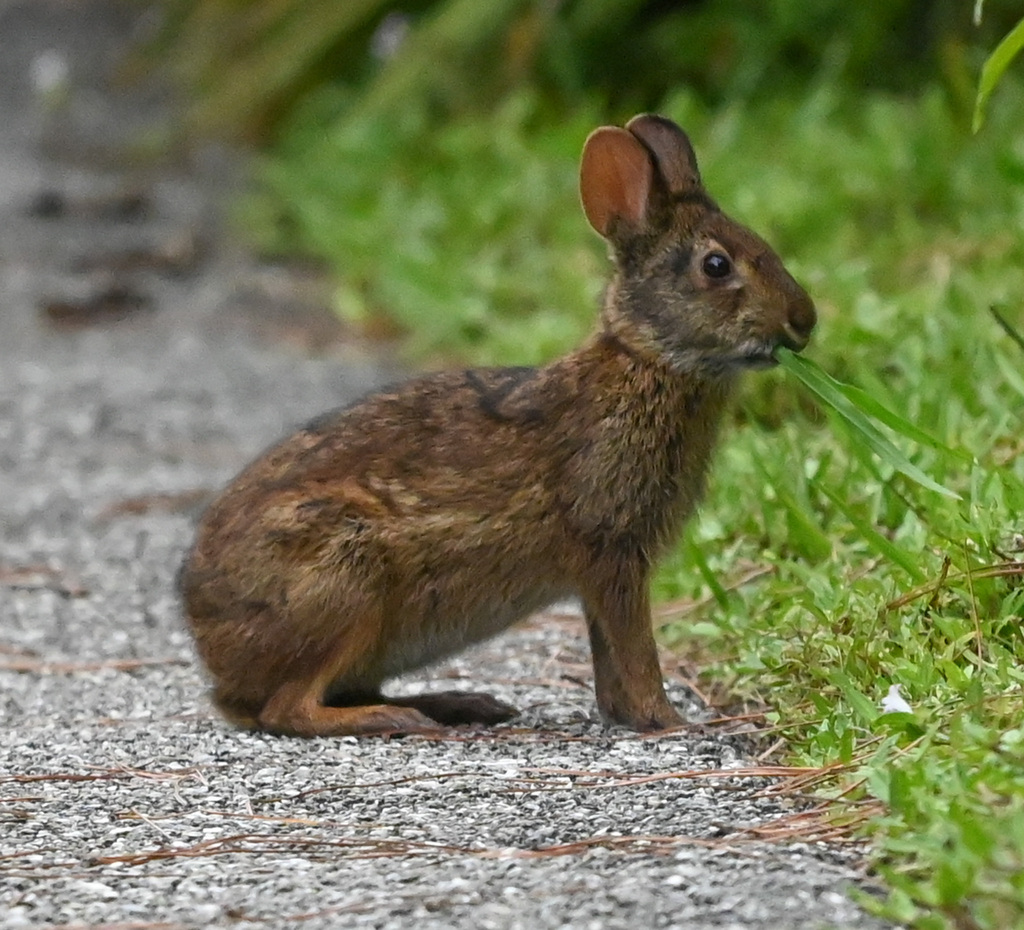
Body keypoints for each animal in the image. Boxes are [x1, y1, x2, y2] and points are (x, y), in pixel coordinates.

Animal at [178, 114, 816, 737]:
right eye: (716, 265)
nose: (804, 321)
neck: (646, 361)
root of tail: (213, 646)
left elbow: (609, 656)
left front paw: (631, 716)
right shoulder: (611, 549)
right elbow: (633, 648)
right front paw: (670, 723)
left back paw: (459, 704)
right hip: (342, 581)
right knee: (288, 709)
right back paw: (396, 719)